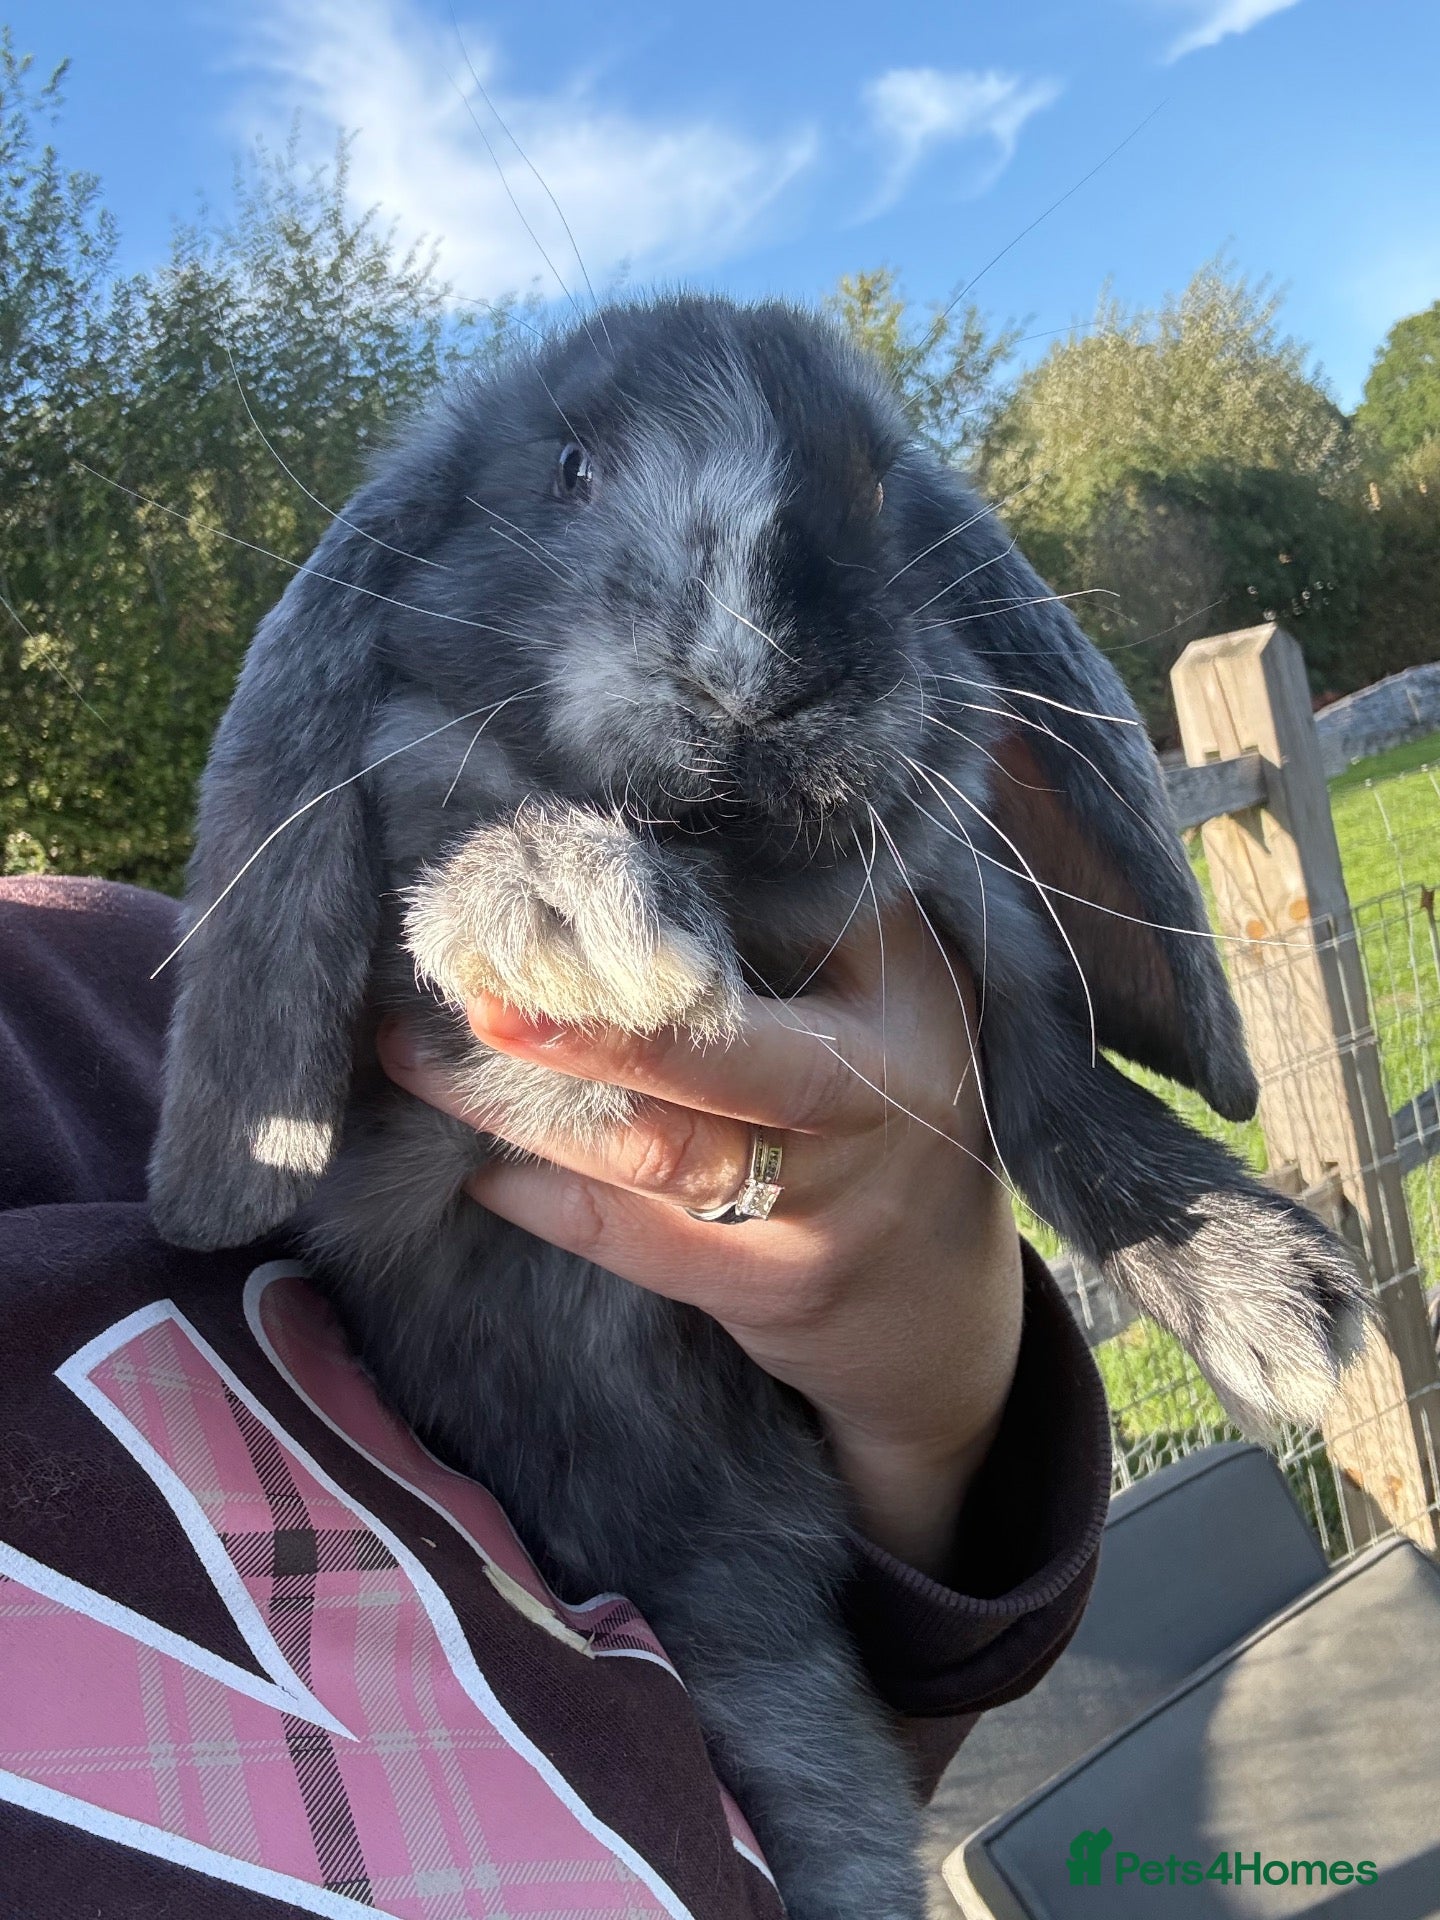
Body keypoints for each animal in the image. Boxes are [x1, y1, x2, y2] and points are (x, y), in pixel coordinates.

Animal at [149, 294, 1367, 1919]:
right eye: (571, 468)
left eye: (874, 480)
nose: (757, 671)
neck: (734, 867)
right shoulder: (409, 1108)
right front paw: (570, 903)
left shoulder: (970, 917)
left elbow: (1047, 1070)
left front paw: (1265, 1290)